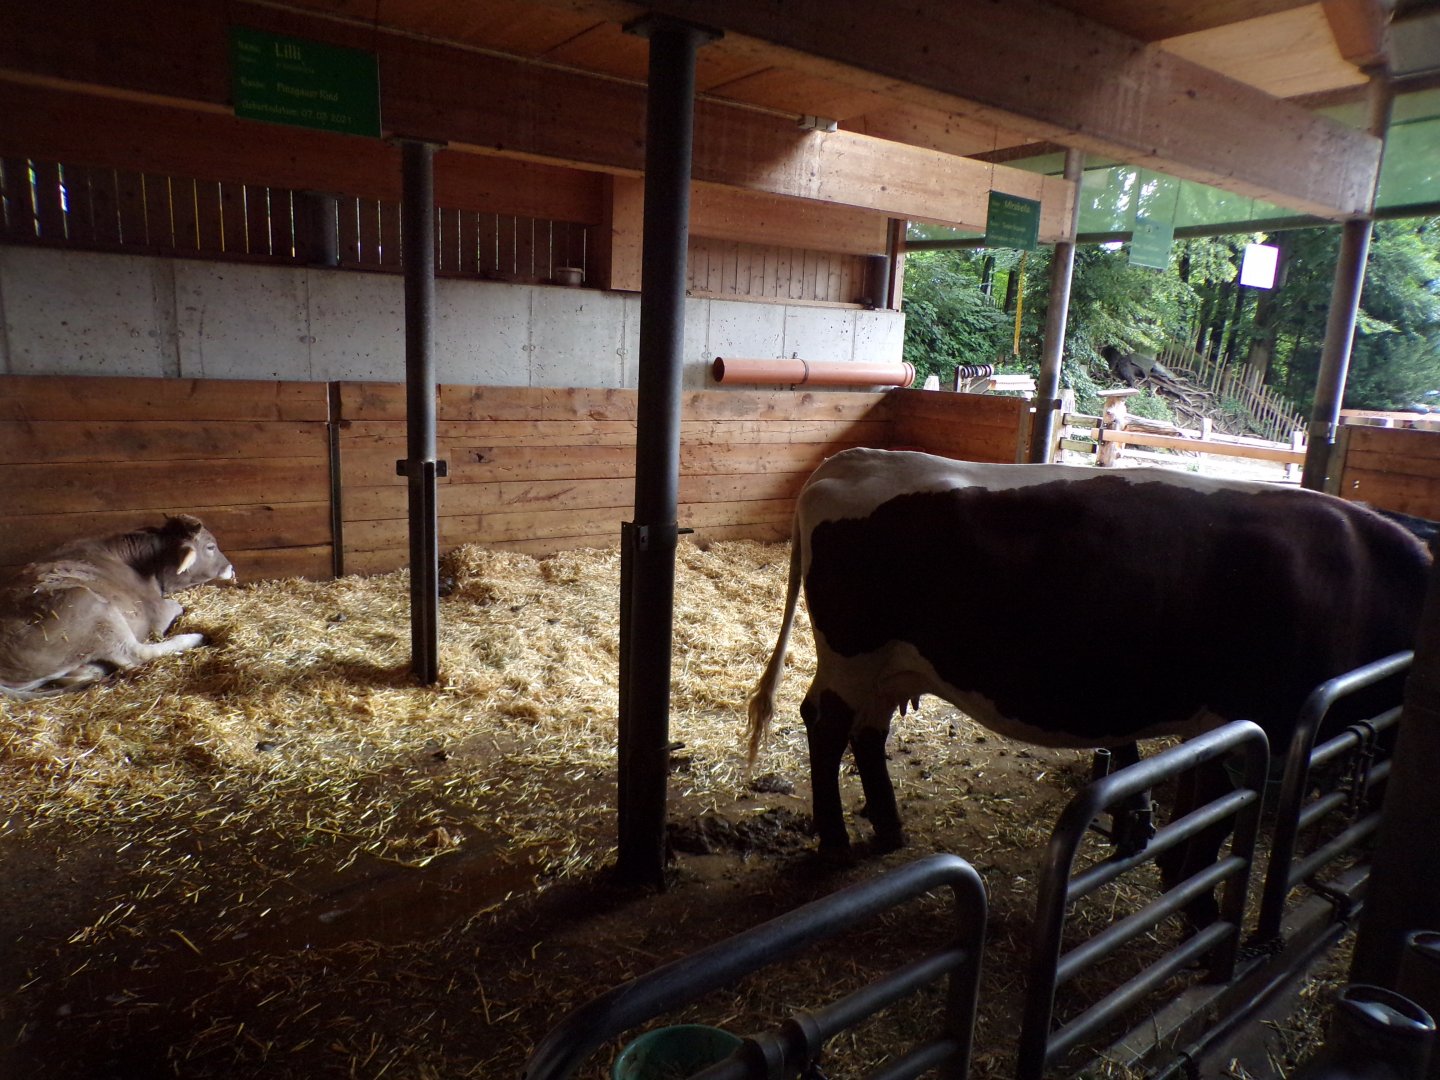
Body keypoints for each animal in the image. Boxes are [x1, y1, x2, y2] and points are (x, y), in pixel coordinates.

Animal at [0, 515, 235, 699]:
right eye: (210, 547)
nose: (231, 568)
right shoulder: (159, 611)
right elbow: (177, 608)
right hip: (94, 609)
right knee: (135, 655)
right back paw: (194, 638)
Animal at [747, 448, 1430, 905]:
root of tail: (856, 459)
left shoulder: (1218, 723)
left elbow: (1201, 803)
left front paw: (1176, 872)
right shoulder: (1260, 721)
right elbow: (1219, 817)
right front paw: (1199, 899)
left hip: (890, 663)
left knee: (867, 731)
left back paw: (888, 828)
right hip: (853, 653)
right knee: (826, 724)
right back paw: (836, 841)